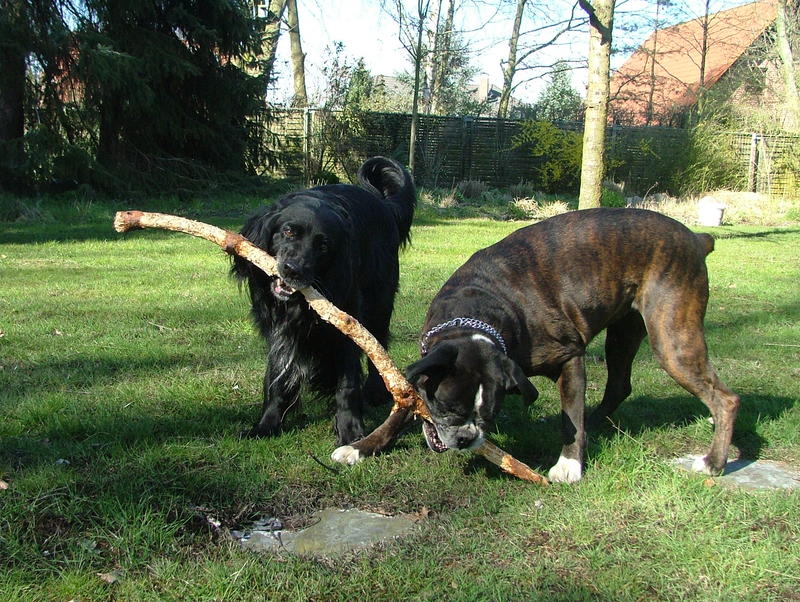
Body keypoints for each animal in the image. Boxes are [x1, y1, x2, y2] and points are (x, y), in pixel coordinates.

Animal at [231, 157, 416, 442]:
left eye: (324, 246)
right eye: (288, 231)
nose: (293, 270)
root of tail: (383, 204)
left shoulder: (348, 324)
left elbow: (347, 384)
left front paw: (350, 431)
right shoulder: (278, 329)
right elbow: (277, 378)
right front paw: (266, 425)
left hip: (379, 304)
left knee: (380, 347)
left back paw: (375, 392)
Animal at [330, 209, 736, 480]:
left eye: (488, 416)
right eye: (447, 407)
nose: (466, 438)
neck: (480, 311)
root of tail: (695, 238)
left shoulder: (571, 357)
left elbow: (569, 417)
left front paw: (569, 464)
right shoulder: (425, 369)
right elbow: (398, 413)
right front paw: (361, 447)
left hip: (672, 339)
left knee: (725, 398)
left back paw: (712, 462)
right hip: (625, 332)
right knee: (620, 384)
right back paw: (597, 423)